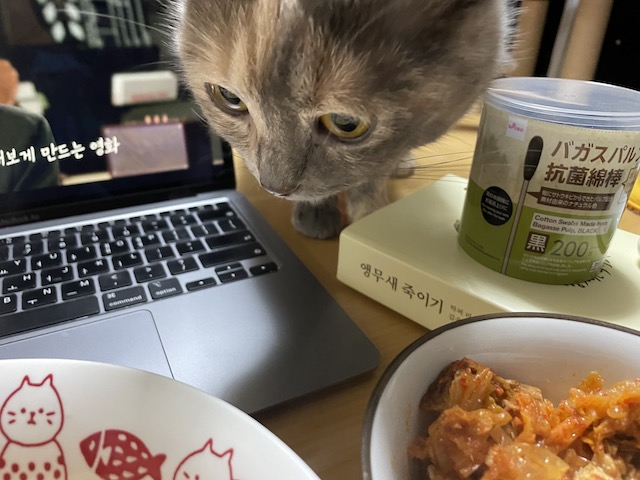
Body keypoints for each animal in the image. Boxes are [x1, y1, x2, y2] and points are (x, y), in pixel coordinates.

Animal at [169, 0, 513, 238]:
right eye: (229, 98)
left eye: (345, 122)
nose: (274, 186)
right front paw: (316, 214)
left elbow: (370, 173)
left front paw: (370, 219)